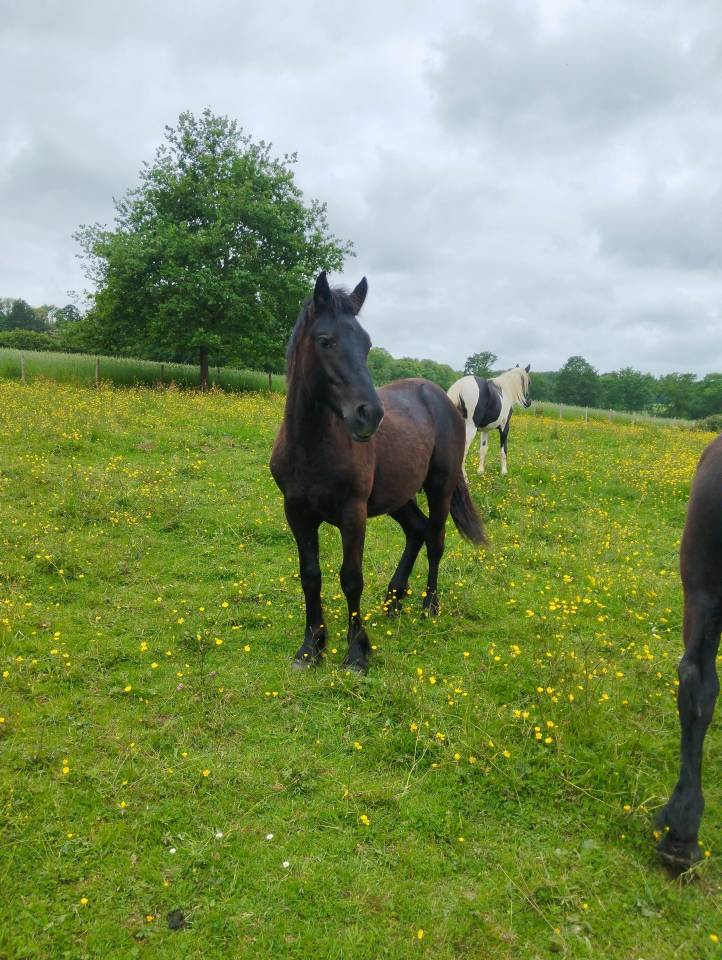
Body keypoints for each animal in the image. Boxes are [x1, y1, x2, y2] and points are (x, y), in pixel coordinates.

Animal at [270, 271, 486, 674]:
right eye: (325, 340)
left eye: (367, 344)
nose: (369, 414)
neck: (311, 445)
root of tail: (443, 399)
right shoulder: (296, 512)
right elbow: (311, 576)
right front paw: (311, 648)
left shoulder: (353, 512)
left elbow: (351, 578)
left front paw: (357, 653)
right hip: (397, 496)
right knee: (417, 530)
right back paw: (393, 599)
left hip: (439, 486)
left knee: (435, 539)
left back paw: (428, 606)